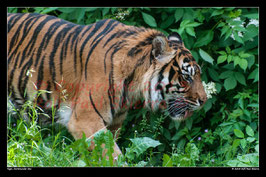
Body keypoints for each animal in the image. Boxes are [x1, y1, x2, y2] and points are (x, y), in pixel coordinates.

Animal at [7, 12, 208, 158]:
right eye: (186, 77)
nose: (204, 100)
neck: (133, 82)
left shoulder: (114, 124)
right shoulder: (85, 120)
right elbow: (113, 156)